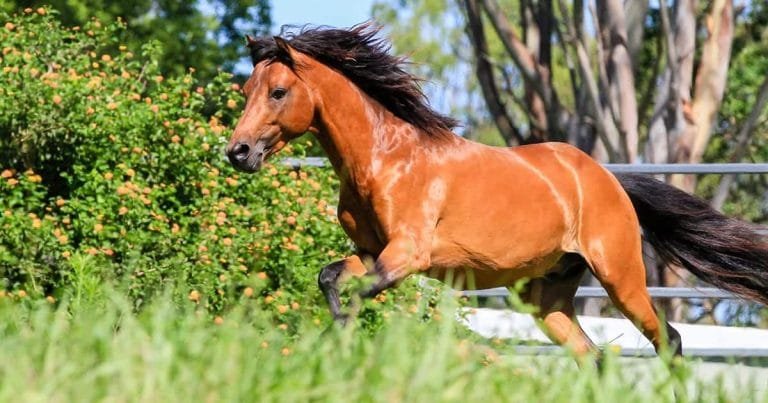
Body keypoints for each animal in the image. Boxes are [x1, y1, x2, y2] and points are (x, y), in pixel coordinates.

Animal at [226, 24, 768, 358]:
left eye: (278, 91)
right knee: (591, 356)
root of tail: (607, 179)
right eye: (246, 91)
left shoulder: (408, 255)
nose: (238, 152)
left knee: (668, 340)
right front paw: (337, 344)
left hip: (621, 277)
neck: (385, 160)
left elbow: (353, 292)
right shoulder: (372, 253)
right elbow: (331, 280)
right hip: (545, 298)